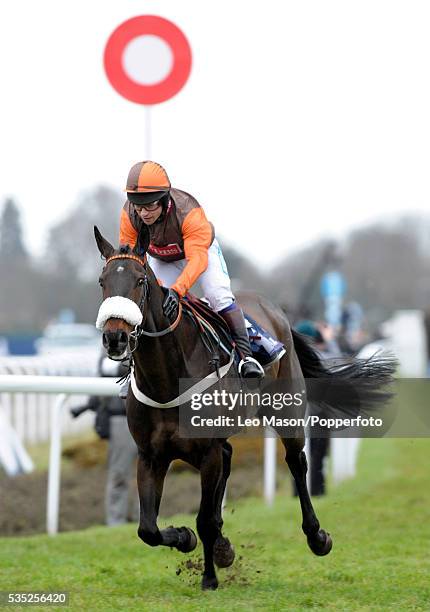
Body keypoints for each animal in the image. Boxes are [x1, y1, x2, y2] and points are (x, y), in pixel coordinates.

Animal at [94, 227, 396, 592]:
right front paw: (185, 538)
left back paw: (317, 536)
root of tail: (275, 310)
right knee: (229, 459)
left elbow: (204, 519)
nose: (115, 338)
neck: (166, 381)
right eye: (102, 281)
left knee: (296, 463)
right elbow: (148, 529)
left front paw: (209, 577)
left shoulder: (206, 452)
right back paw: (222, 547)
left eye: (139, 280)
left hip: (287, 411)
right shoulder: (151, 455)